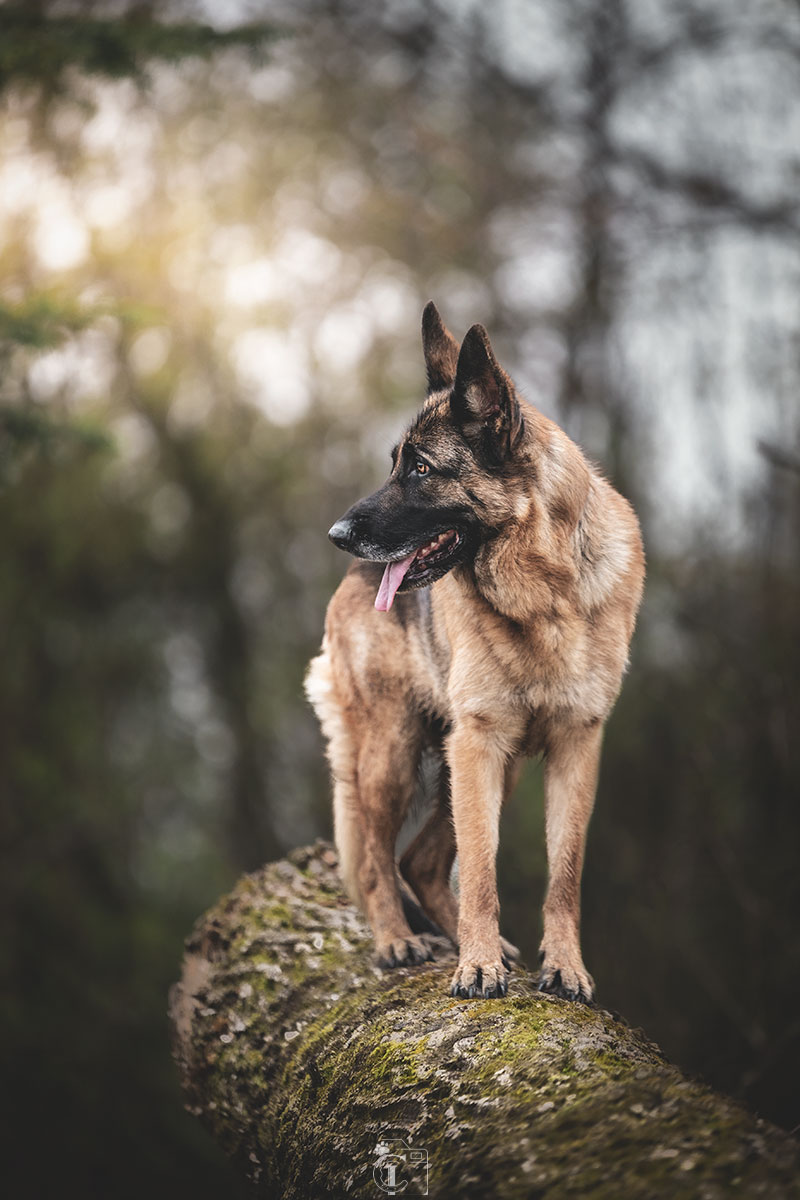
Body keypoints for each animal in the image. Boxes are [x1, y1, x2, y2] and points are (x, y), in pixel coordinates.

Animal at [307, 304, 642, 998]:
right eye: (394, 463)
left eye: (421, 469)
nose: (336, 534)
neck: (543, 595)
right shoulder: (478, 744)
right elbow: (483, 871)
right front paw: (477, 966)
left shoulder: (575, 747)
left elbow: (565, 873)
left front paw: (564, 967)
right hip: (394, 754)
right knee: (380, 858)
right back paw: (398, 941)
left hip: (492, 766)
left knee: (420, 860)